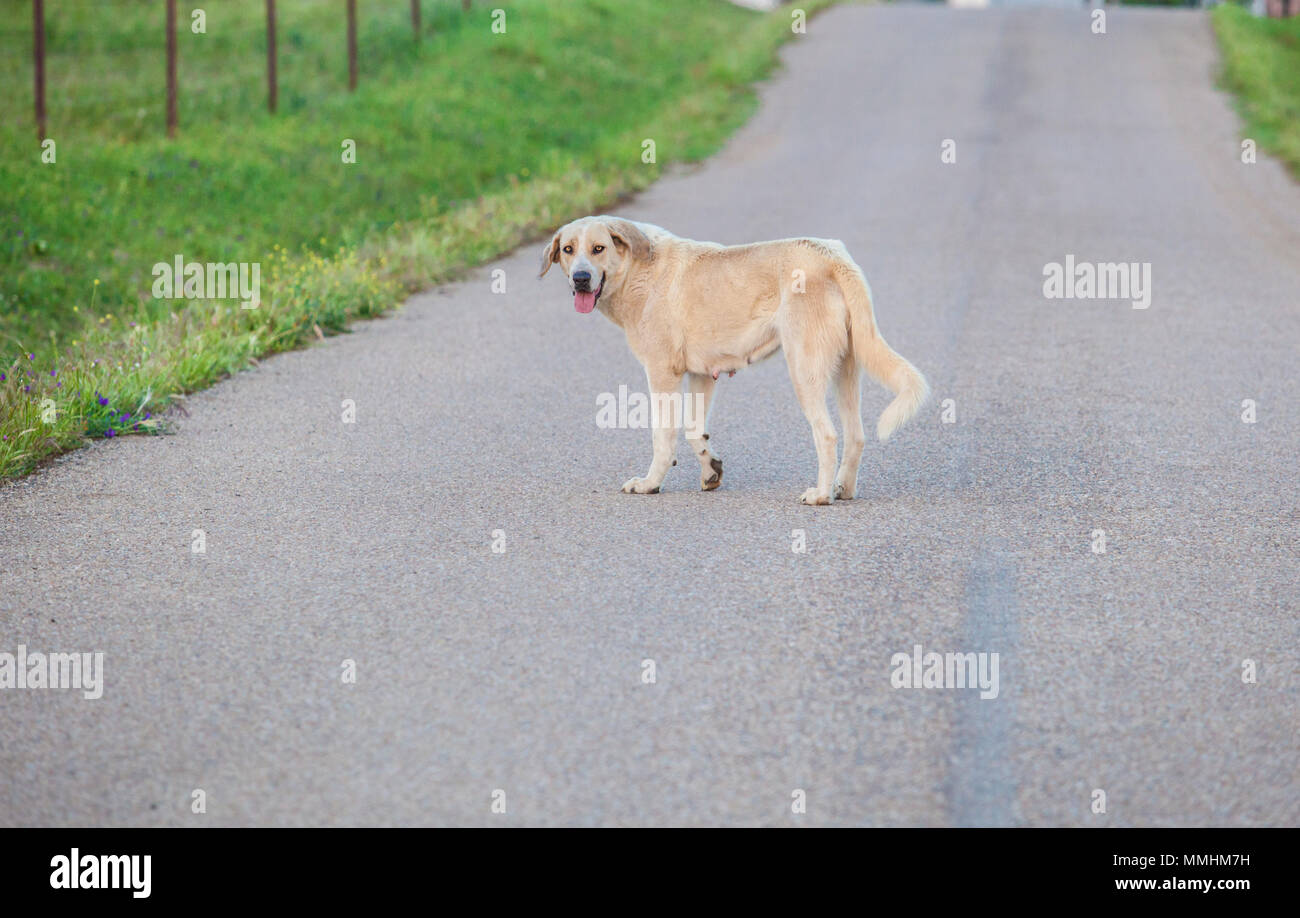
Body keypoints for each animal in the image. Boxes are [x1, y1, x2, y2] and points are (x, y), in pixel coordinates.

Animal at [535, 214, 925, 504]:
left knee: (827, 435)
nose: (580, 278)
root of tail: (833, 256)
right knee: (856, 435)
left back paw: (820, 495)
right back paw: (843, 490)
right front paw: (711, 471)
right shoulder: (702, 375)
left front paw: (650, 483)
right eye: (568, 250)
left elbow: (664, 436)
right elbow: (695, 431)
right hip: (846, 369)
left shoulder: (662, 374)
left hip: (804, 370)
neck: (637, 269)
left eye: (598, 249)